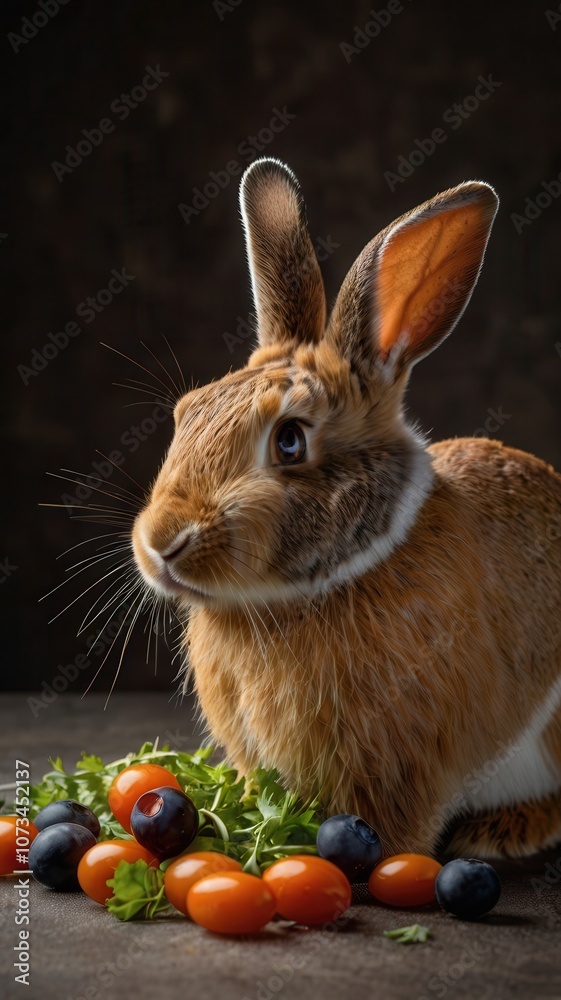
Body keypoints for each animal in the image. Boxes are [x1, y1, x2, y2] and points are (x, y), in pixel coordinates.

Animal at [132, 158, 561, 859]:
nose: (161, 542)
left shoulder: (404, 760)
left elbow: (394, 823)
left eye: (289, 440)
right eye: (187, 412)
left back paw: (503, 831)